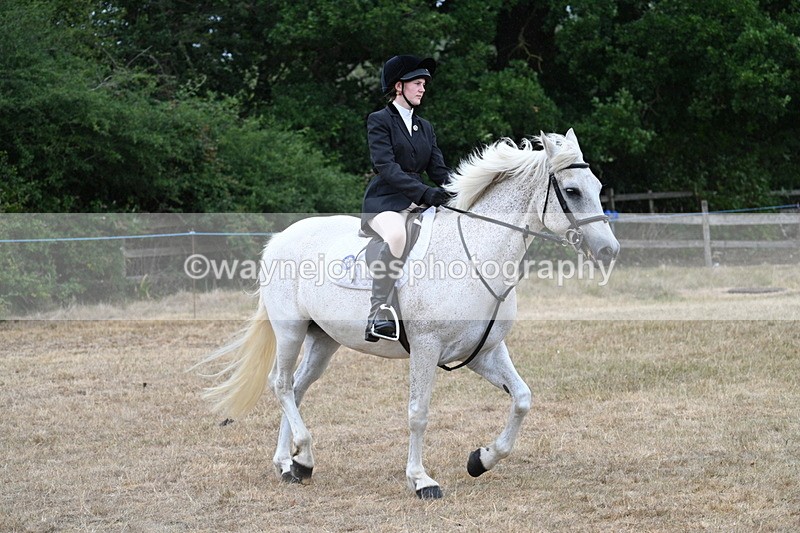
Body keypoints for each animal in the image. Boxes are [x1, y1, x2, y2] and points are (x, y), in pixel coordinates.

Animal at [199, 128, 619, 499]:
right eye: (572, 191)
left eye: (598, 187)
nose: (609, 251)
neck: (476, 255)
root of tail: (281, 237)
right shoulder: (426, 347)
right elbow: (419, 412)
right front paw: (421, 481)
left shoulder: (483, 351)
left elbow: (522, 399)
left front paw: (481, 460)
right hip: (290, 330)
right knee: (282, 384)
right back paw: (304, 455)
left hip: (323, 339)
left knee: (298, 388)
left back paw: (290, 465)